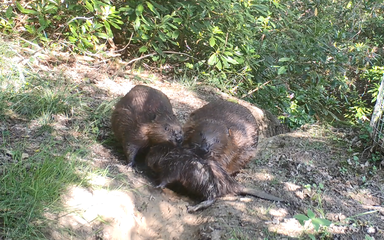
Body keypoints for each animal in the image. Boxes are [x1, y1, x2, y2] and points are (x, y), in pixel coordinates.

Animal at [146, 143, 286, 213]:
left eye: (152, 151)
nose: (146, 159)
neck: (172, 154)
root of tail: (234, 185)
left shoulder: (175, 166)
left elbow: (167, 178)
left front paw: (157, 185)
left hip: (208, 184)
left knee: (212, 198)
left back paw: (193, 207)